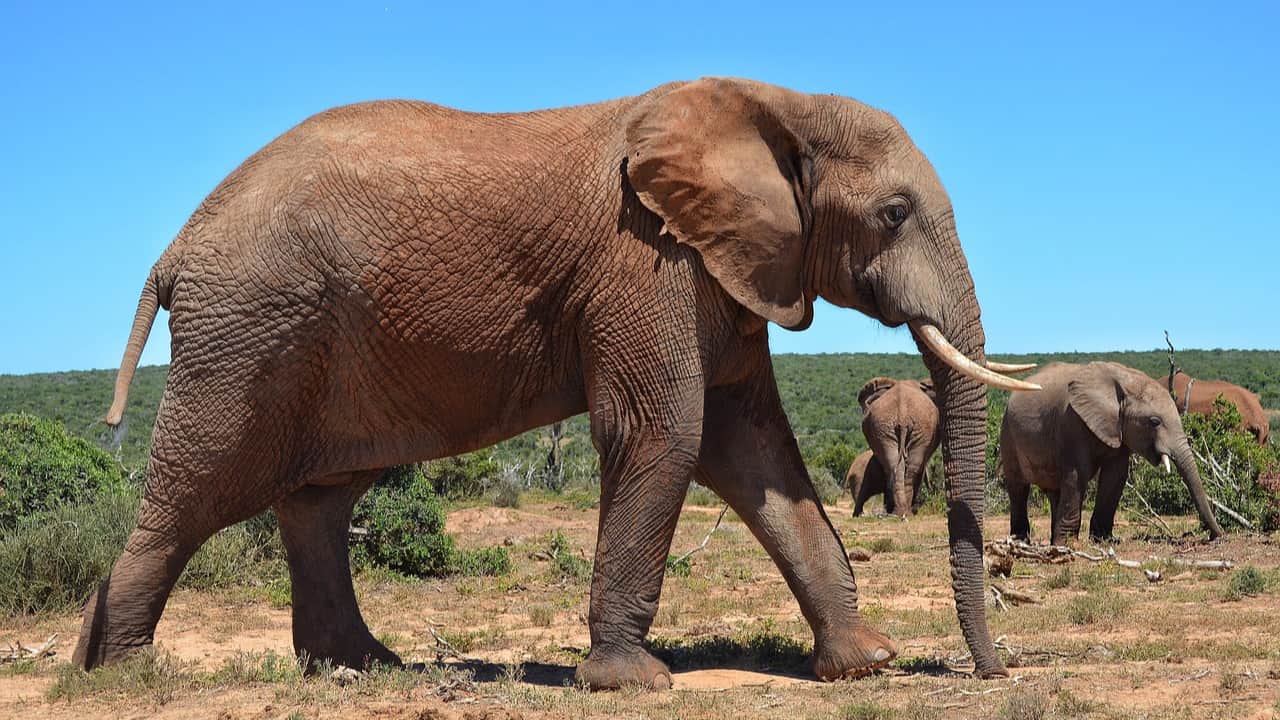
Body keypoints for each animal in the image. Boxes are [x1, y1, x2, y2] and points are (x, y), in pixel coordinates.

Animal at [849, 376, 942, 515]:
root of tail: (902, 415)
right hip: (890, 426)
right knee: (906, 467)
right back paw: (904, 512)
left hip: (890, 427)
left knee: (897, 465)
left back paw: (900, 512)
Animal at [998, 361, 1218, 540]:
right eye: (1154, 422)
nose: (1214, 535)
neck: (1123, 381)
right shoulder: (1072, 422)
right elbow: (1077, 474)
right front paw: (1069, 543)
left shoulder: (1119, 429)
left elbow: (1115, 476)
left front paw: (1104, 540)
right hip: (1007, 432)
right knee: (1018, 487)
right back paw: (1021, 541)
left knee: (1054, 491)